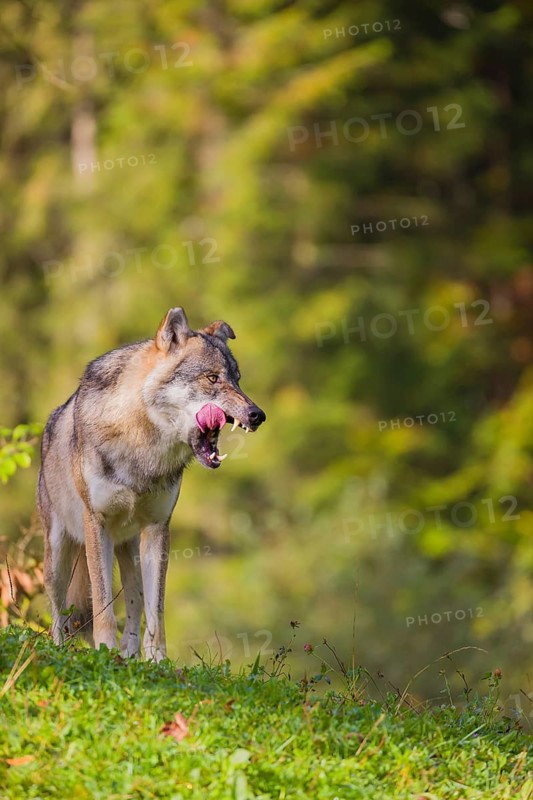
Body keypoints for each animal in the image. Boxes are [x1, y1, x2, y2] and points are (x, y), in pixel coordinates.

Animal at [37, 308, 266, 660]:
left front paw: (157, 660)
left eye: (237, 379)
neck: (141, 443)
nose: (257, 415)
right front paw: (105, 650)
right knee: (58, 611)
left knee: (134, 602)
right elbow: (103, 605)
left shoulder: (158, 528)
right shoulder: (96, 524)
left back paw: (131, 655)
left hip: (130, 550)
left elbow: (155, 611)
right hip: (59, 554)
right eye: (213, 378)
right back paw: (63, 649)